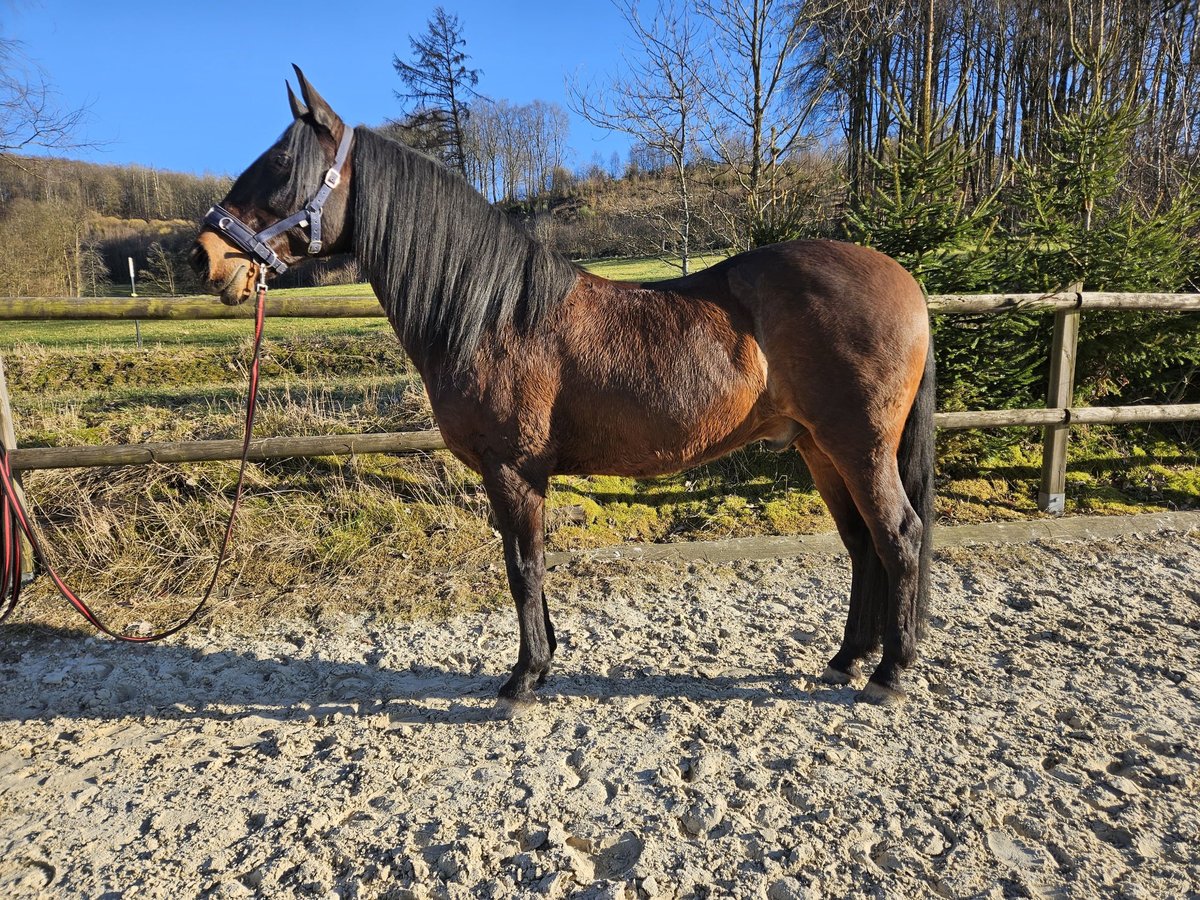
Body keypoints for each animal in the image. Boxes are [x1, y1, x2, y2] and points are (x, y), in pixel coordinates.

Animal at [189, 68, 936, 705]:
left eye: (280, 167)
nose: (205, 255)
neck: (493, 313)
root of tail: (906, 282)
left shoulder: (513, 468)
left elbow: (523, 567)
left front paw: (523, 679)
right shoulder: (522, 474)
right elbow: (531, 565)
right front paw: (543, 663)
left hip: (860, 446)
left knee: (899, 536)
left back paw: (890, 674)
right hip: (818, 447)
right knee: (862, 544)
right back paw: (847, 660)